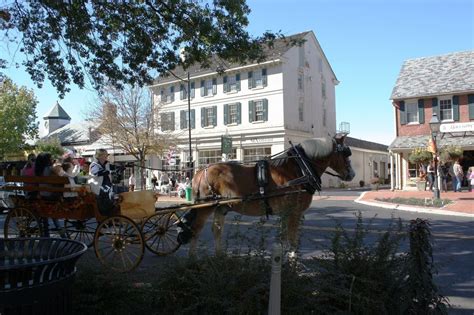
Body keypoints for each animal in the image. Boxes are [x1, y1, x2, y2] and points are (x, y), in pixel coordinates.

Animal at [183, 135, 354, 256]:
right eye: (345, 154)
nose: (352, 174)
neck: (300, 169)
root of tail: (201, 171)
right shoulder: (294, 212)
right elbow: (292, 240)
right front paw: (293, 267)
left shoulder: (286, 213)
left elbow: (284, 238)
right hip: (205, 208)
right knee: (195, 230)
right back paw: (193, 261)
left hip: (221, 207)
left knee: (217, 229)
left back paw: (220, 258)